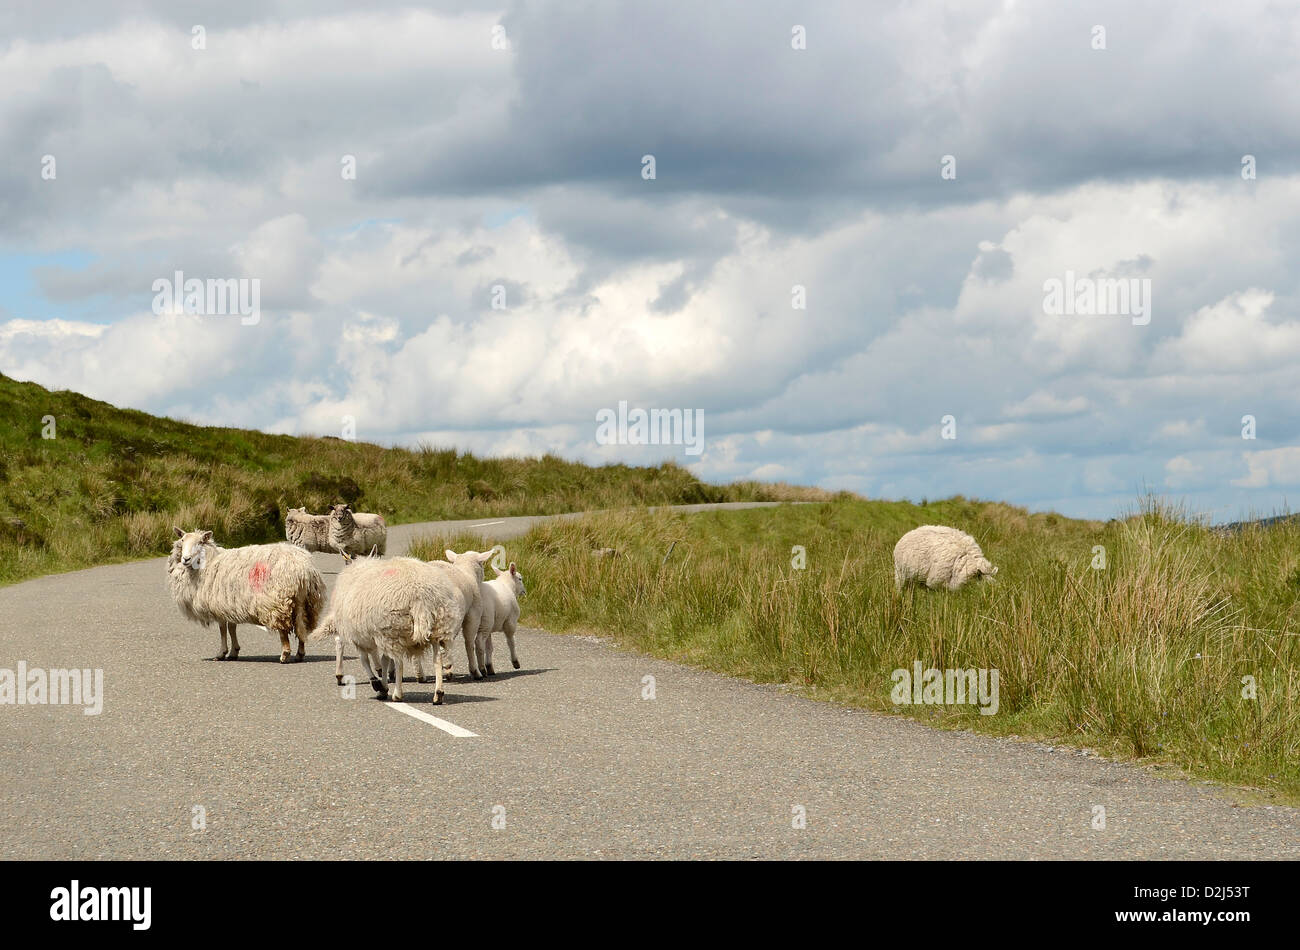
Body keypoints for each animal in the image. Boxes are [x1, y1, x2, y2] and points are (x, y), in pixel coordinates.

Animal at [167, 528, 327, 663]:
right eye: (182, 540)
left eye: (200, 542)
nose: (185, 559)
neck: (210, 561)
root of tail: (302, 570)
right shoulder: (230, 605)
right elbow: (232, 628)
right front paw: (234, 652)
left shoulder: (219, 604)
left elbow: (223, 630)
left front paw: (221, 653)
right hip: (307, 603)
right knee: (302, 627)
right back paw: (300, 654)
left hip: (277, 602)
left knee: (283, 630)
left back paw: (285, 655)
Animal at [310, 548, 496, 703]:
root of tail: (420, 595)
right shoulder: (371, 634)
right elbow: (380, 660)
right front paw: (382, 683)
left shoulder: (361, 636)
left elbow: (366, 660)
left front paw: (378, 684)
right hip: (435, 628)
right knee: (437, 660)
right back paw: (438, 693)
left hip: (394, 629)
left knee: (399, 662)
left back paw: (397, 694)